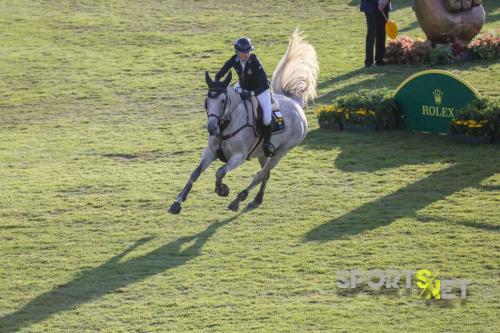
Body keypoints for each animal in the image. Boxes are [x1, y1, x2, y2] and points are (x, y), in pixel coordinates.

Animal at [167, 29, 316, 214]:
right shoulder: (210, 152)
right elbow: (195, 173)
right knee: (265, 174)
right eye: (206, 101)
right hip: (263, 153)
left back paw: (238, 199)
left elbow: (219, 172)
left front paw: (222, 190)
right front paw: (177, 202)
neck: (225, 126)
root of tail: (295, 103)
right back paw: (257, 199)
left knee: (261, 174)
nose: (211, 127)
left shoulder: (238, 157)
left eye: (223, 101)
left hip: (281, 151)